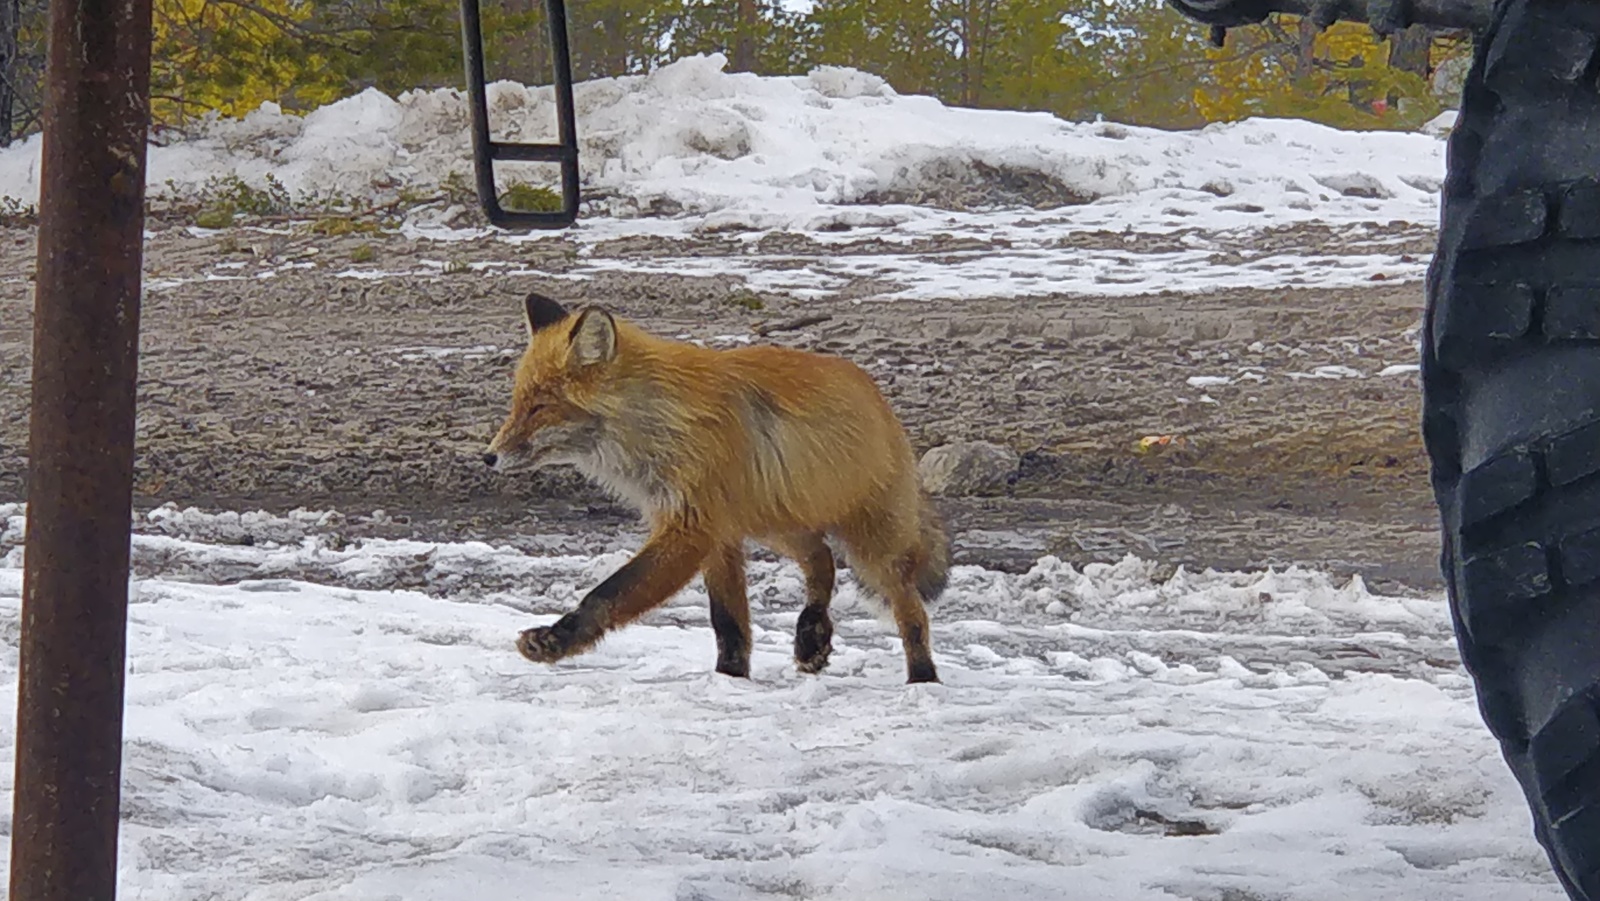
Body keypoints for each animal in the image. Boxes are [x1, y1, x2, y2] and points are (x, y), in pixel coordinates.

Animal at [480, 294, 940, 684]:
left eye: (540, 406)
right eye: (518, 402)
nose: (489, 457)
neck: (661, 424)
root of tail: (878, 396)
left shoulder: (694, 527)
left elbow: (609, 592)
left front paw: (555, 641)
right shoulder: (717, 535)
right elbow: (729, 623)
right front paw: (730, 679)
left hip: (870, 549)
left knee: (911, 610)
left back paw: (922, 679)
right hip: (772, 523)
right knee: (821, 558)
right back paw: (812, 634)